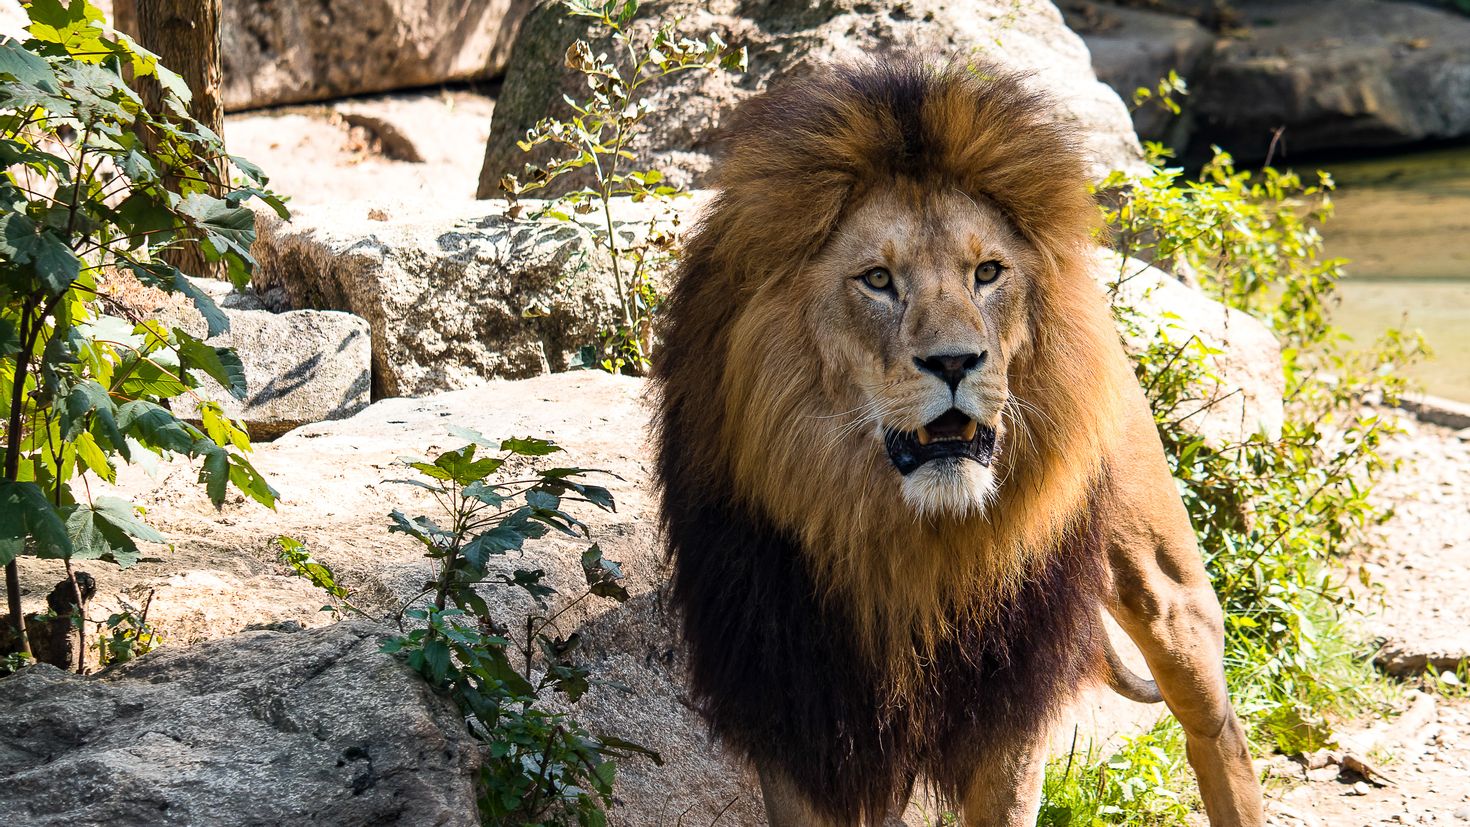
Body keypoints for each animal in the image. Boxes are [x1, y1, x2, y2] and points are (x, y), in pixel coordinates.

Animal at [652, 63, 1264, 827]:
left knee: (1218, 726)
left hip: (1165, 587)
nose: (954, 362)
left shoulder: (1009, 696)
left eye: (988, 273)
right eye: (878, 280)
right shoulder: (793, 704)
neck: (907, 544)